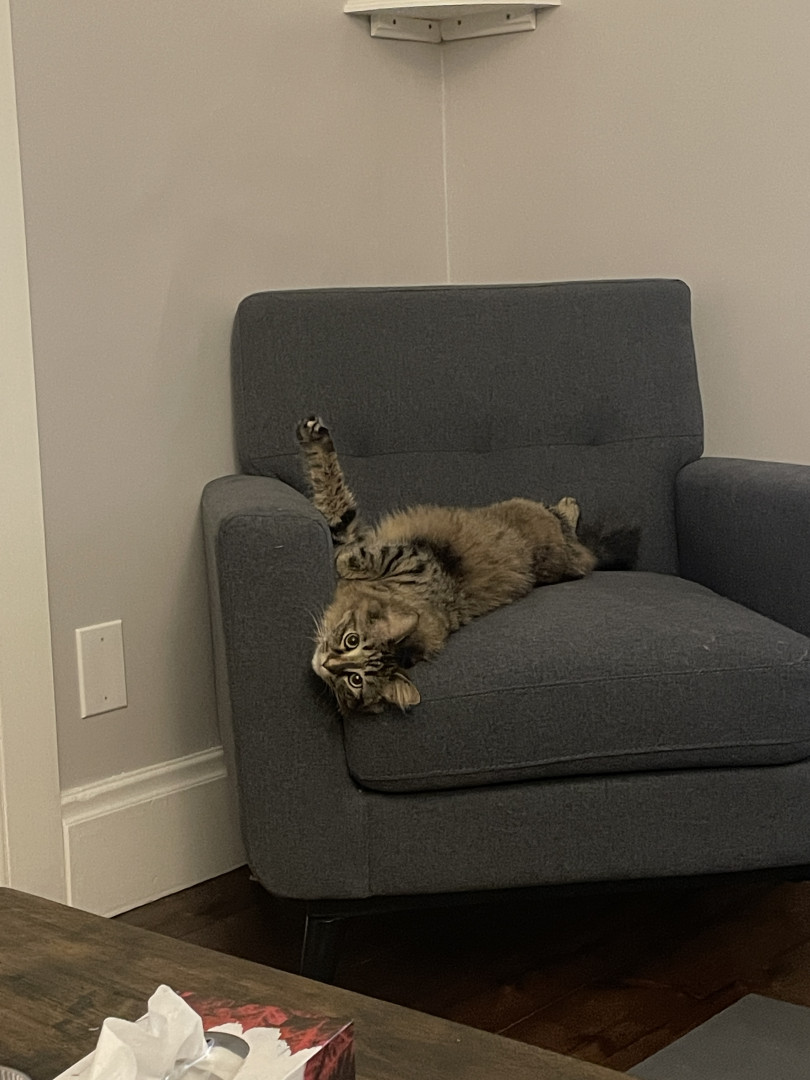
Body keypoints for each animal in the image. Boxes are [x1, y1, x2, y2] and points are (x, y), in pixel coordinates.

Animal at [297, 416, 639, 717]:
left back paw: (570, 504)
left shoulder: (403, 556)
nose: (326, 664)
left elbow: (341, 523)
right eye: (351, 641)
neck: (398, 595)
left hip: (556, 542)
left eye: (355, 680)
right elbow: (335, 500)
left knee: (566, 522)